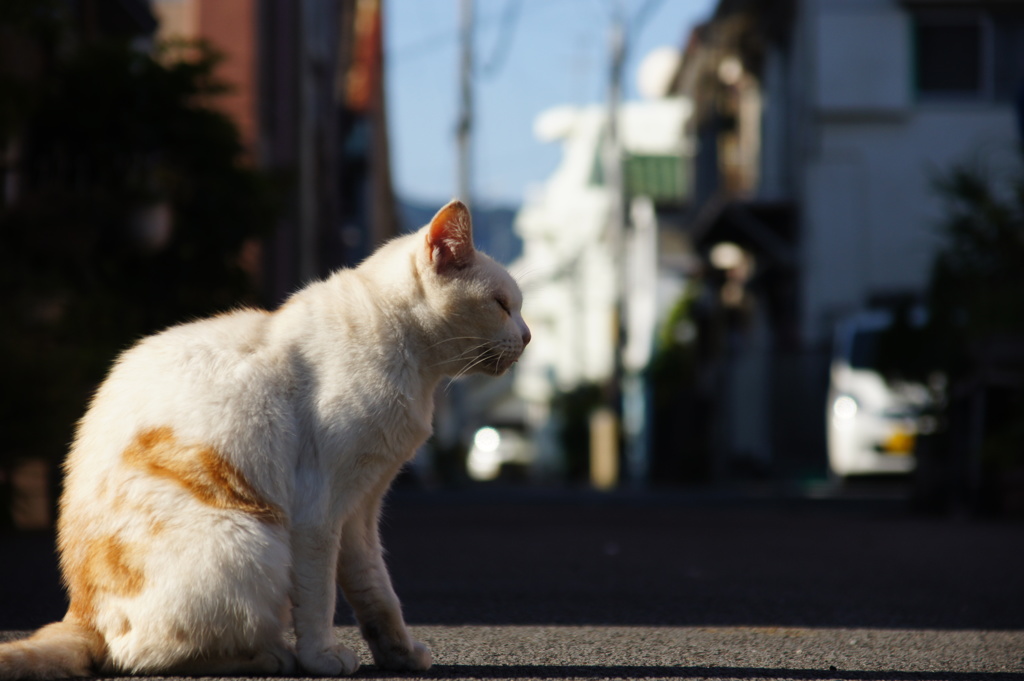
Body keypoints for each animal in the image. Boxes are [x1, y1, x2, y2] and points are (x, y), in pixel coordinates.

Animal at [0, 199, 528, 675]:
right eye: (501, 306)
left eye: (516, 308)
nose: (527, 338)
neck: (417, 371)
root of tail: (80, 613)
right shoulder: (320, 511)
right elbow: (320, 598)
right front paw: (322, 658)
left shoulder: (361, 508)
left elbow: (376, 592)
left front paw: (398, 655)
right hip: (251, 540)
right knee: (144, 656)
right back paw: (270, 655)